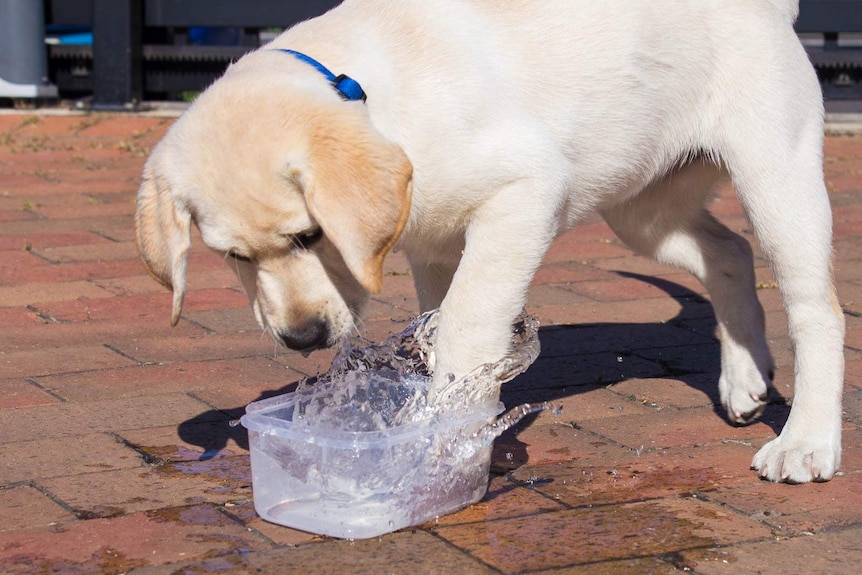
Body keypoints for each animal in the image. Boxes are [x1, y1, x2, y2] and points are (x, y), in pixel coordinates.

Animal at [138, 0, 848, 484]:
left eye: (312, 235)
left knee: (818, 310)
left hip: (774, 169)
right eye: (233, 257)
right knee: (726, 252)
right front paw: (452, 424)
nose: (302, 338)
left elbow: (467, 322)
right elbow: (436, 325)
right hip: (643, 206)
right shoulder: (431, 244)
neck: (370, 95)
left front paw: (442, 437)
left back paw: (805, 442)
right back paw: (745, 380)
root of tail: (772, 10)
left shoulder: (525, 192)